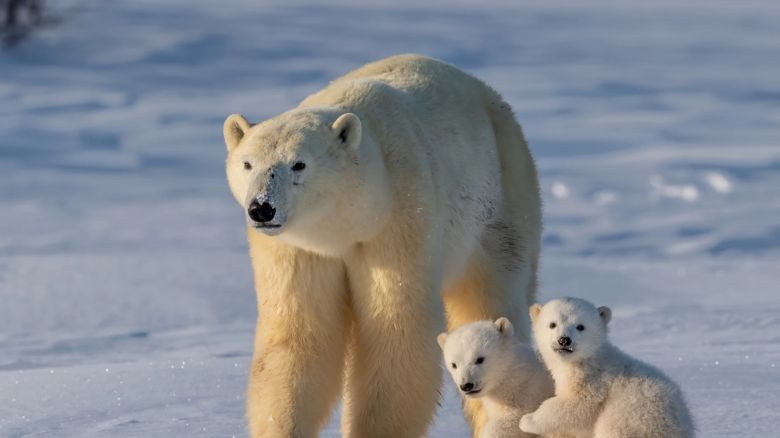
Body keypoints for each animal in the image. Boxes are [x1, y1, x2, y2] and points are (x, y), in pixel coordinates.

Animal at [224, 55, 544, 438]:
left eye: (299, 164)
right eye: (248, 164)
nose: (261, 208)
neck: (345, 226)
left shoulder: (398, 219)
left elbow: (396, 332)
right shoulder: (298, 249)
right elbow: (298, 337)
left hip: (500, 203)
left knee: (491, 298)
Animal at [520, 298, 692, 438]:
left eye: (580, 326)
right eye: (552, 324)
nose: (564, 340)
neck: (588, 359)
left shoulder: (594, 383)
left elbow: (575, 406)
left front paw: (527, 421)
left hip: (632, 418)